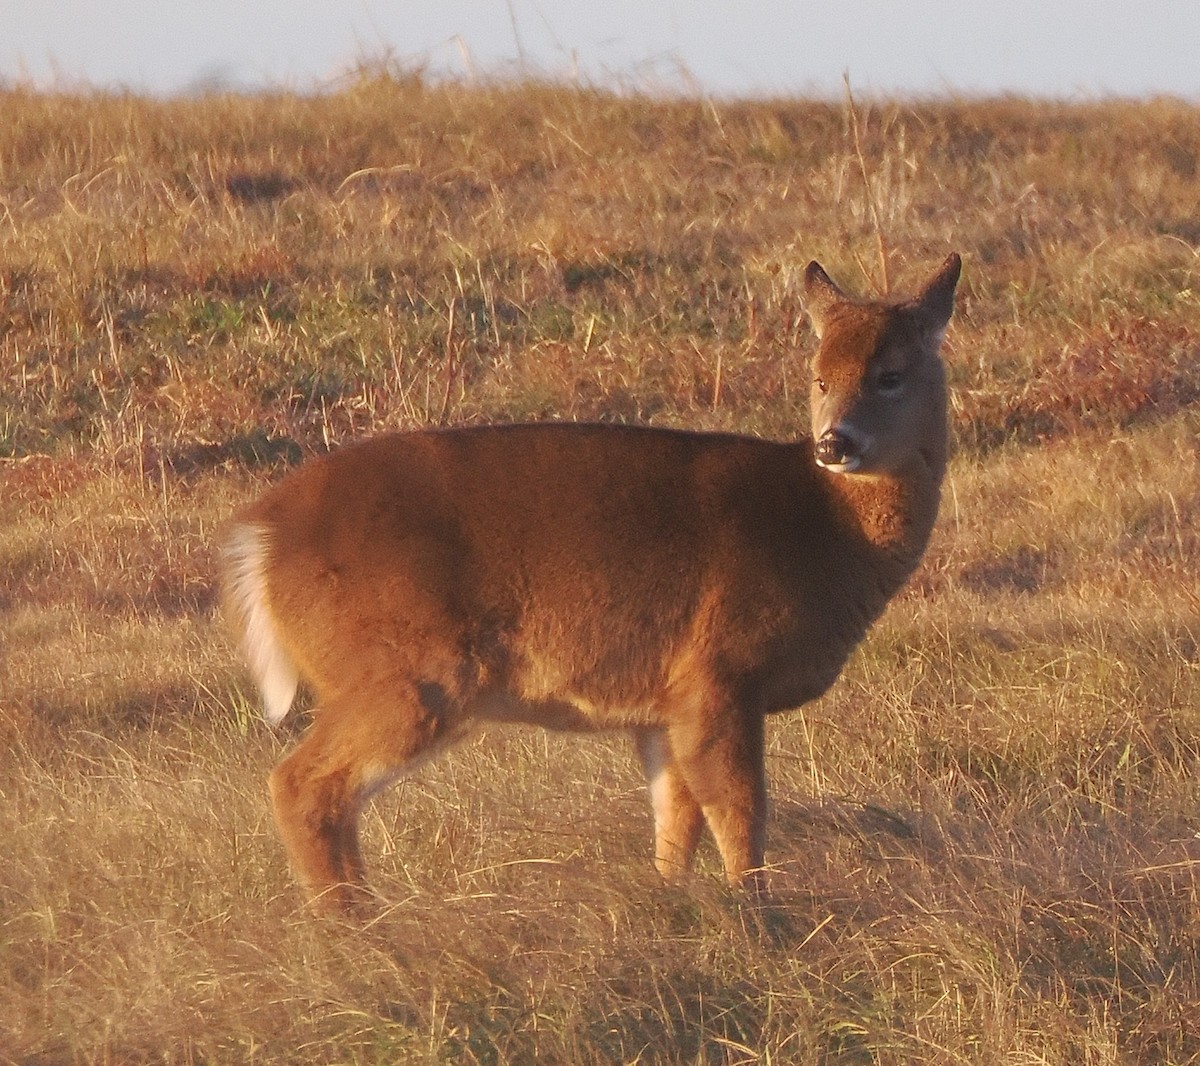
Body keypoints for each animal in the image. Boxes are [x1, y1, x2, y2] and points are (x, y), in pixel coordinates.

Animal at [220, 254, 962, 913]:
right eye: (818, 376)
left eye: (890, 374)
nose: (835, 444)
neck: (825, 531)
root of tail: (259, 536)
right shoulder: (722, 671)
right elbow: (743, 813)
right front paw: (760, 918)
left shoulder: (669, 701)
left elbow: (675, 822)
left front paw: (675, 907)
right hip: (411, 668)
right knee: (302, 784)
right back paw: (359, 933)